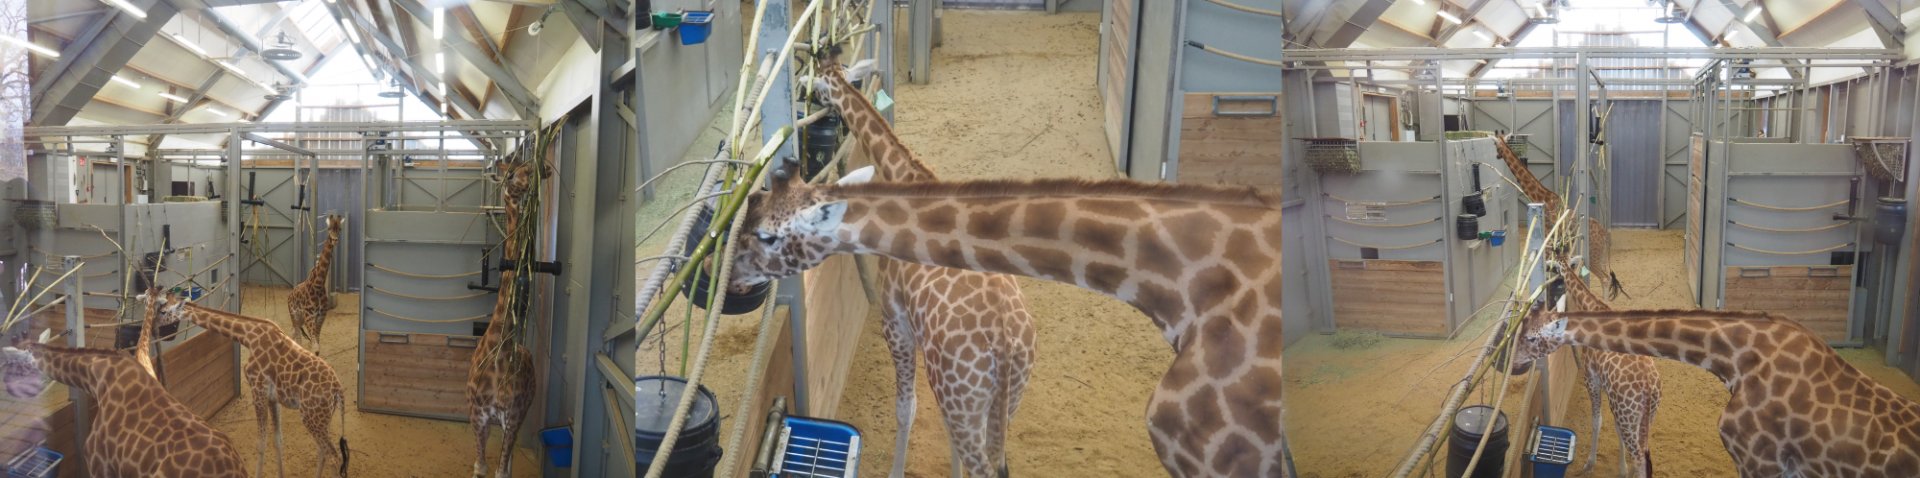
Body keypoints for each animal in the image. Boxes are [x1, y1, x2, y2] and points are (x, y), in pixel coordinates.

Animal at [145, 288, 350, 478]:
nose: (152, 327)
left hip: (311, 417)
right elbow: (278, 441)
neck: (247, 336)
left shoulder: (257, 390)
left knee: (335, 457)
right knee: (325, 452)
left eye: (163, 311)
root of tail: (338, 391)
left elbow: (261, 443)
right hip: (322, 419)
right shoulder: (273, 398)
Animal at [289, 214, 345, 353]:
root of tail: (290, 294)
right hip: (295, 316)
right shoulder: (309, 316)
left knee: (293, 333)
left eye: (339, 229)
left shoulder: (321, 316)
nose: (335, 240)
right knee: (297, 336)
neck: (318, 285)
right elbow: (314, 348)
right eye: (329, 228)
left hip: (300, 319)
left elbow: (316, 346)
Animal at [804, 55, 1037, 477]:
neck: (908, 177)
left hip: (967, 393)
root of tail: (1008, 345)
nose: (804, 89)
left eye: (819, 82)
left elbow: (906, 409)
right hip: (1004, 398)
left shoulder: (895, 320)